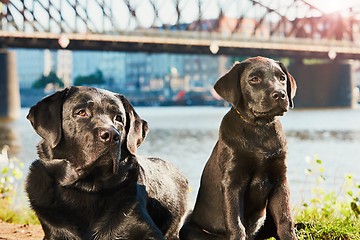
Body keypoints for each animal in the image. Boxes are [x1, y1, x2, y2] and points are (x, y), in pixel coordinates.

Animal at [180, 56, 298, 240]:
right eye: (254, 79)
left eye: (282, 78)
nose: (280, 94)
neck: (259, 128)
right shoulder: (232, 182)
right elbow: (235, 223)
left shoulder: (280, 179)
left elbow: (285, 220)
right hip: (191, 230)